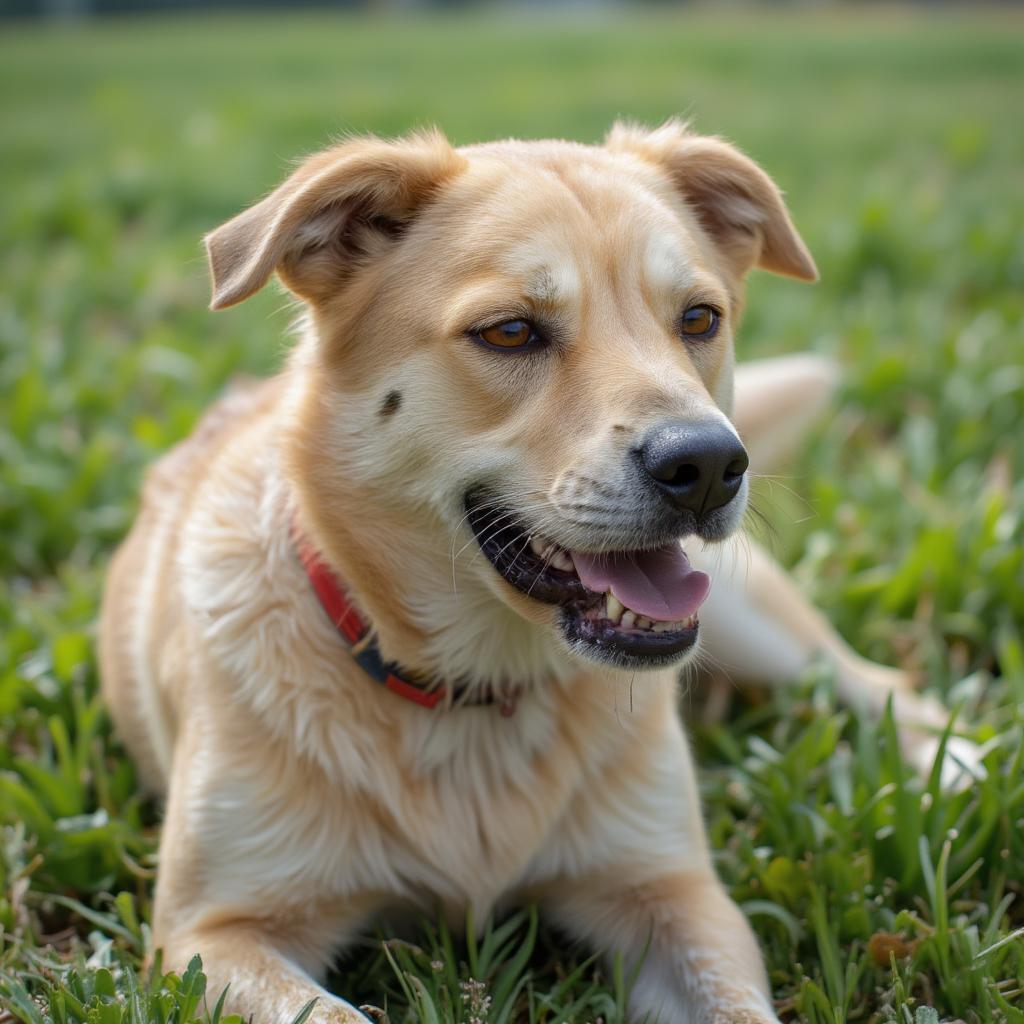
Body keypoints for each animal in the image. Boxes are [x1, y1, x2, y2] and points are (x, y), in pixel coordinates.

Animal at [99, 121, 970, 1024]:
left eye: (699, 318)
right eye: (510, 332)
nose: (709, 465)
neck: (477, 695)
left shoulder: (676, 895)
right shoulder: (212, 934)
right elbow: (333, 1013)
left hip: (746, 610)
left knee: (867, 677)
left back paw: (954, 762)